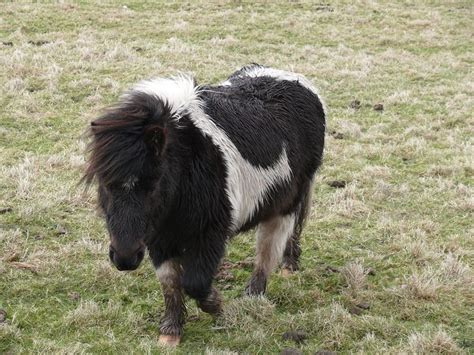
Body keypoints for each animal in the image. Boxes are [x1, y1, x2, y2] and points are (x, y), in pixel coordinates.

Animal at [83, 63, 324, 344]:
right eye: (105, 183)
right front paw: (170, 332)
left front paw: (219, 306)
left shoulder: (210, 234)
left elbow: (195, 283)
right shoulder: (158, 238)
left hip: (286, 203)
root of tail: (293, 79)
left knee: (270, 249)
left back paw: (259, 289)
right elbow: (170, 283)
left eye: (153, 185)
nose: (125, 259)